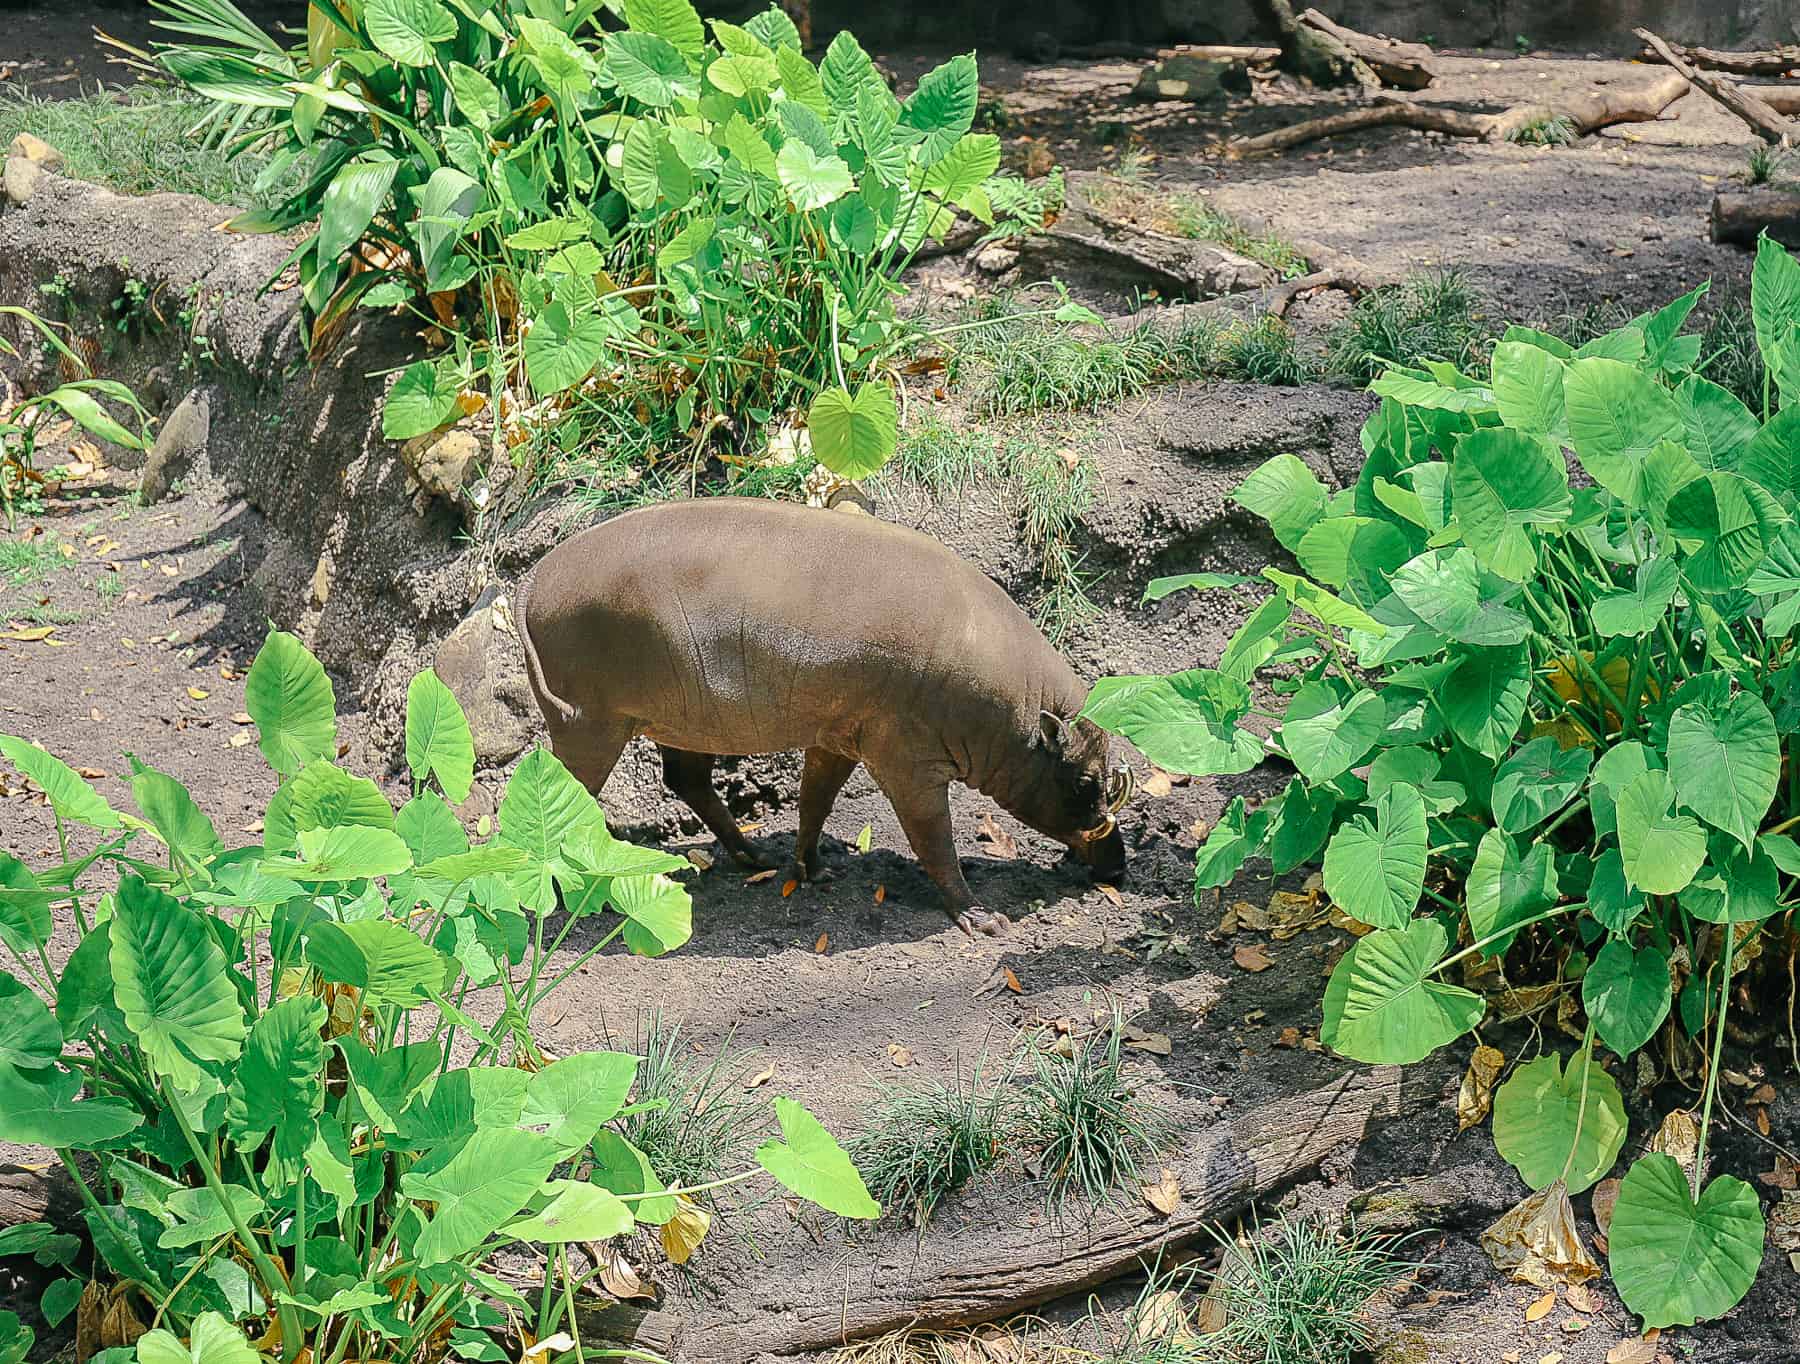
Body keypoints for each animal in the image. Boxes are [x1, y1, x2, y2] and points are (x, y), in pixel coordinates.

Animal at [522, 503, 1130, 942]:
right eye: (1086, 782)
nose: (1118, 868)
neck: (1011, 718)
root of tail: (529, 585)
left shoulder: (841, 734)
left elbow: (815, 798)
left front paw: (812, 869)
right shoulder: (905, 754)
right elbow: (932, 835)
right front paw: (981, 919)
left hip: (684, 720)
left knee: (686, 780)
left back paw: (755, 858)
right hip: (589, 723)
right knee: (564, 793)